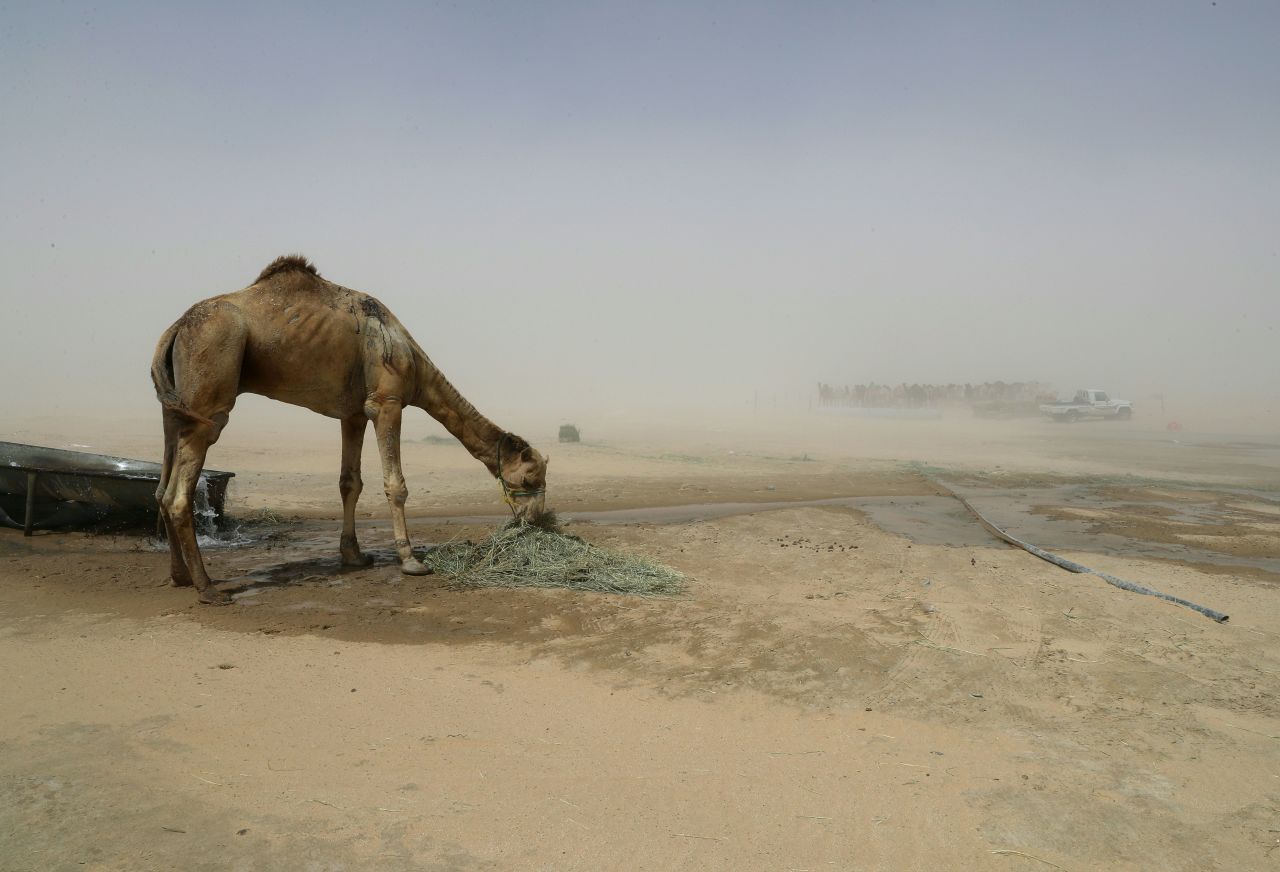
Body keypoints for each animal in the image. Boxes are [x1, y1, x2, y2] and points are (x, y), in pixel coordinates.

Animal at [151, 254, 550, 601]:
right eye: (529, 477)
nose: (537, 520)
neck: (412, 359)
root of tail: (175, 328)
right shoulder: (385, 402)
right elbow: (395, 485)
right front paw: (411, 561)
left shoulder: (353, 414)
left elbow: (350, 483)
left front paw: (355, 556)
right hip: (210, 381)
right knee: (180, 492)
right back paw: (208, 589)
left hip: (175, 406)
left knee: (162, 487)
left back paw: (179, 576)